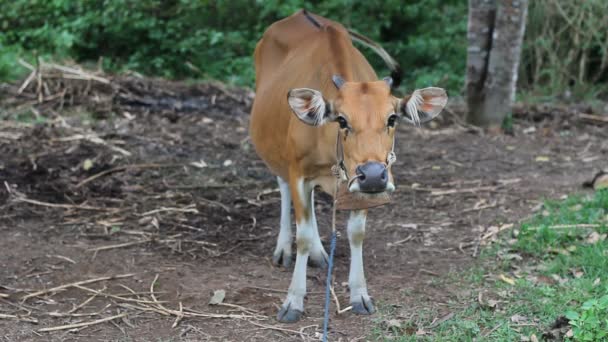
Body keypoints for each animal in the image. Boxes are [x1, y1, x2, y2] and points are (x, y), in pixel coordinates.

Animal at [248, 9, 446, 322]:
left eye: (392, 118)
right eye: (341, 120)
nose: (374, 175)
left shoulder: (359, 187)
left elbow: (356, 234)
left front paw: (359, 293)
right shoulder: (298, 171)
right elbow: (302, 235)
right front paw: (294, 300)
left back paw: (320, 253)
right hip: (278, 154)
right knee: (283, 188)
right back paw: (283, 248)